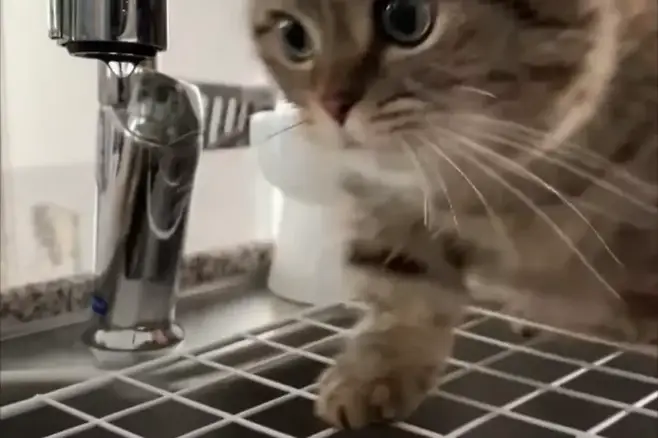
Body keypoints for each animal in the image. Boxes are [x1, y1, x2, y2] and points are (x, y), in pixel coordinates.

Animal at [249, 0, 658, 429]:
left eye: (406, 18)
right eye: (293, 37)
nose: (331, 106)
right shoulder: (388, 200)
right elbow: (402, 291)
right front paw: (375, 367)